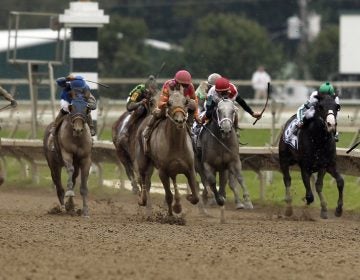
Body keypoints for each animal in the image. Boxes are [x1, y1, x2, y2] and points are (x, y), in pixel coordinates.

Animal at [135, 87, 200, 217]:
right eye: (169, 103)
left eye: (186, 102)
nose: (179, 120)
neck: (176, 145)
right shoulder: (163, 172)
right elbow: (168, 196)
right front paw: (170, 214)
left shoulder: (190, 169)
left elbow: (196, 197)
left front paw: (186, 199)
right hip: (143, 160)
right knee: (143, 178)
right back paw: (143, 199)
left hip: (174, 170)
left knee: (173, 180)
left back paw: (178, 202)